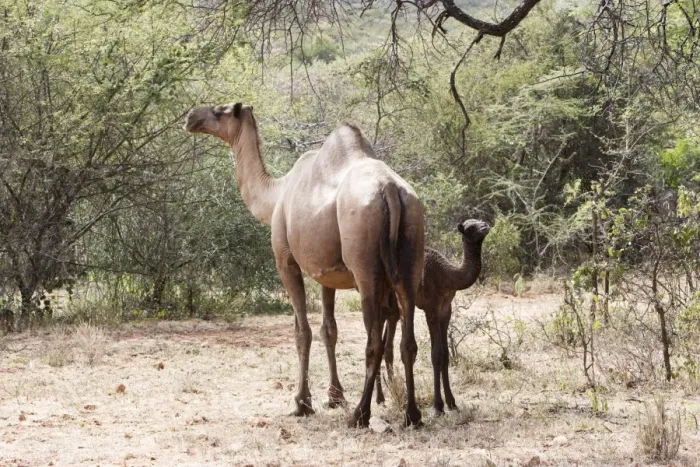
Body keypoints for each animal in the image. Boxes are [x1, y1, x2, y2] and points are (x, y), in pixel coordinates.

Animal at [184, 102, 425, 427]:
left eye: (220, 110)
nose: (191, 118)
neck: (275, 196)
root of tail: (388, 189)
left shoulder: (286, 261)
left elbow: (303, 332)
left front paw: (302, 402)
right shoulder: (327, 272)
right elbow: (329, 330)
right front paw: (334, 396)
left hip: (366, 268)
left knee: (373, 340)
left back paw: (360, 414)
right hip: (412, 253)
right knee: (408, 340)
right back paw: (412, 414)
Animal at [375, 218, 490, 413]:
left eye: (481, 221)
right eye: (470, 227)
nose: (486, 227)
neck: (449, 275)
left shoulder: (445, 309)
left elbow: (445, 354)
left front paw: (451, 402)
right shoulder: (431, 308)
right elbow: (436, 354)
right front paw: (438, 406)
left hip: (394, 308)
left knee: (387, 343)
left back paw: (390, 393)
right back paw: (380, 398)